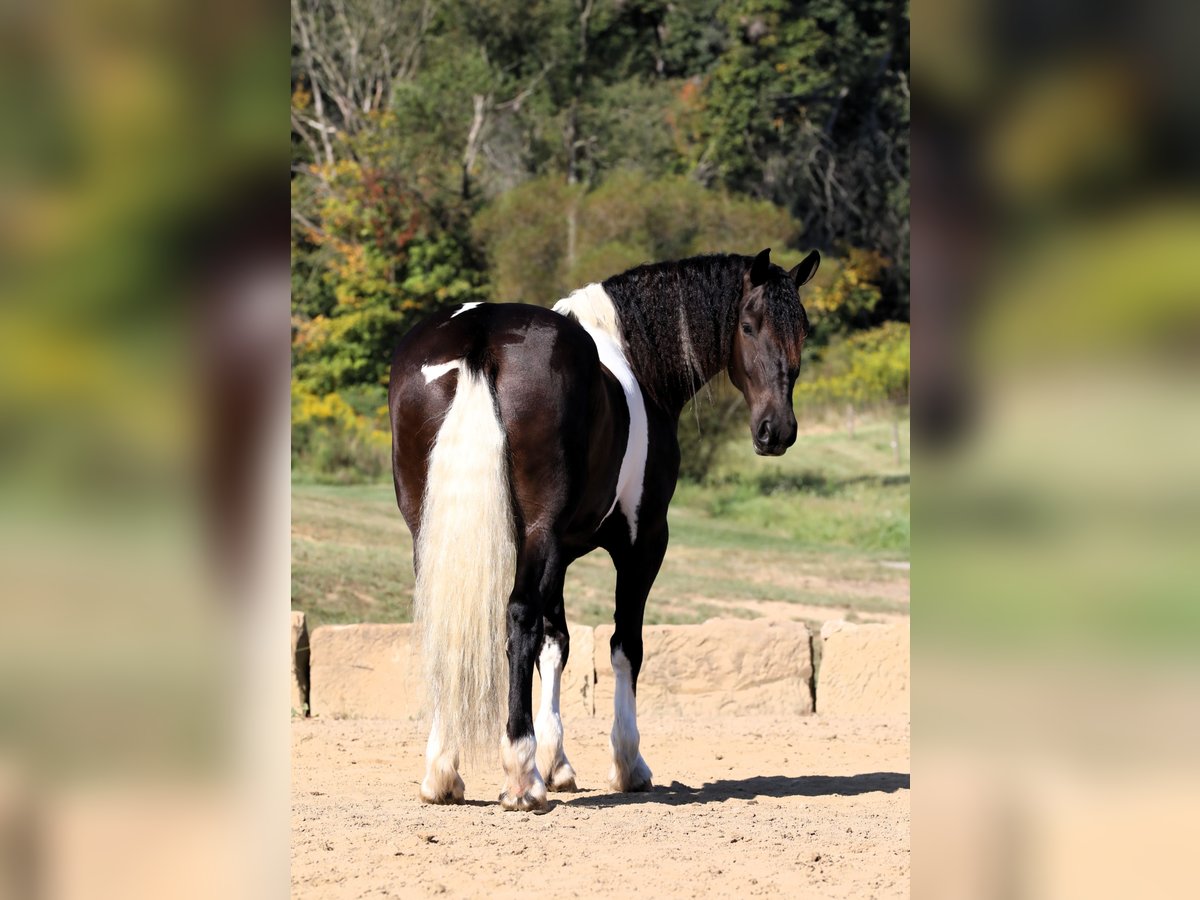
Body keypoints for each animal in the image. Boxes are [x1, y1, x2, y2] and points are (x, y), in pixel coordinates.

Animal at [388, 248, 820, 816]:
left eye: (804, 330)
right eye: (749, 325)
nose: (778, 431)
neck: (634, 359)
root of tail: (480, 334)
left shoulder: (560, 551)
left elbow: (556, 644)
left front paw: (557, 762)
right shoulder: (642, 540)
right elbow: (623, 645)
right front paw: (627, 763)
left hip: (430, 527)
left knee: (446, 618)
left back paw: (443, 772)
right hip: (542, 531)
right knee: (518, 617)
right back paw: (521, 778)